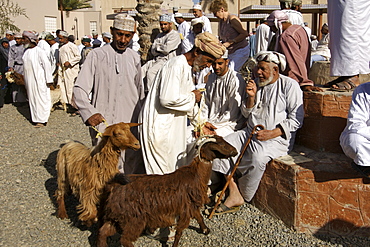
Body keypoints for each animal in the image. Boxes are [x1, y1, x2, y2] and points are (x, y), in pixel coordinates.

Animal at [98, 135, 237, 247]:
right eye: (221, 145)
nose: (235, 151)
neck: (195, 174)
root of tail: (113, 186)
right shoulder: (185, 209)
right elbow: (179, 231)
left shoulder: (191, 205)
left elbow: (199, 217)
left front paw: (205, 230)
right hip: (134, 220)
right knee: (125, 240)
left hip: (116, 218)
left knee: (103, 232)